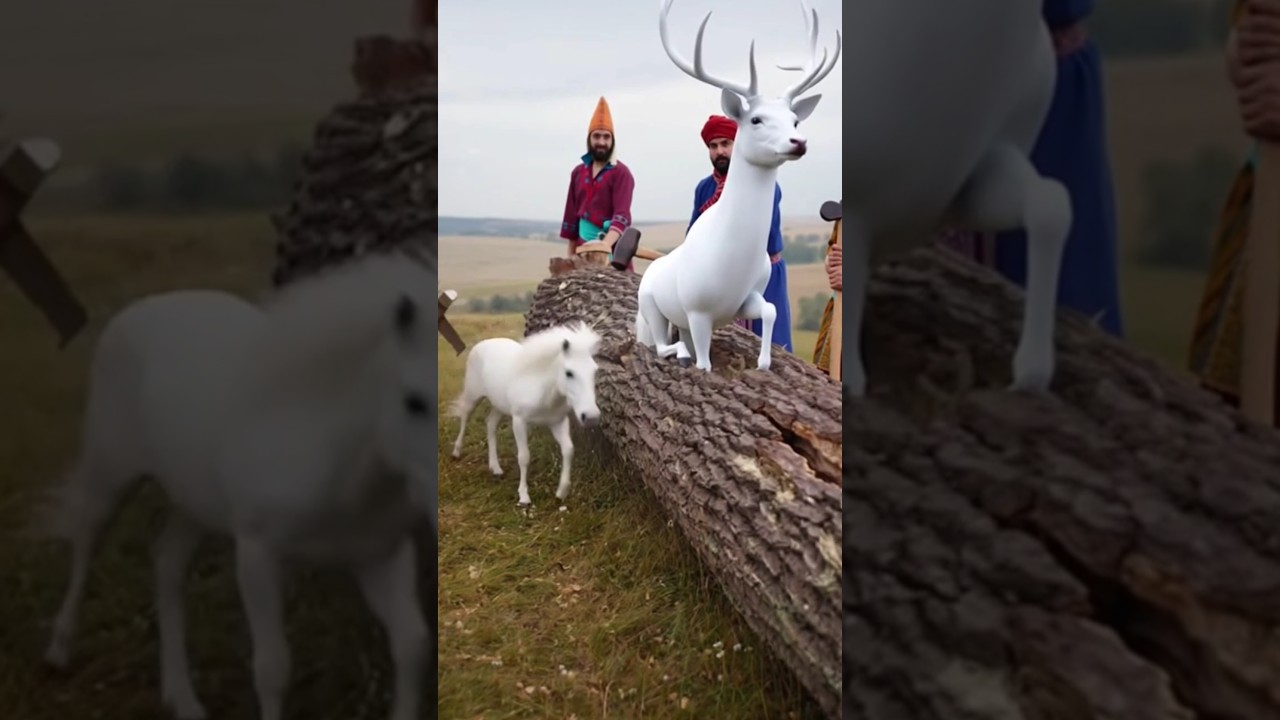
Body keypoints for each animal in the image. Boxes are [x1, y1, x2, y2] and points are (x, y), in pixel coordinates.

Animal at [634, 0, 840, 372]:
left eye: (795, 120)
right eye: (755, 119)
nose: (799, 142)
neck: (731, 260)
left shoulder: (745, 300)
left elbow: (770, 311)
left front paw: (764, 362)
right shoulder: (697, 309)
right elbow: (704, 364)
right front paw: (704, 363)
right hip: (651, 305)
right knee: (659, 343)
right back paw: (676, 351)